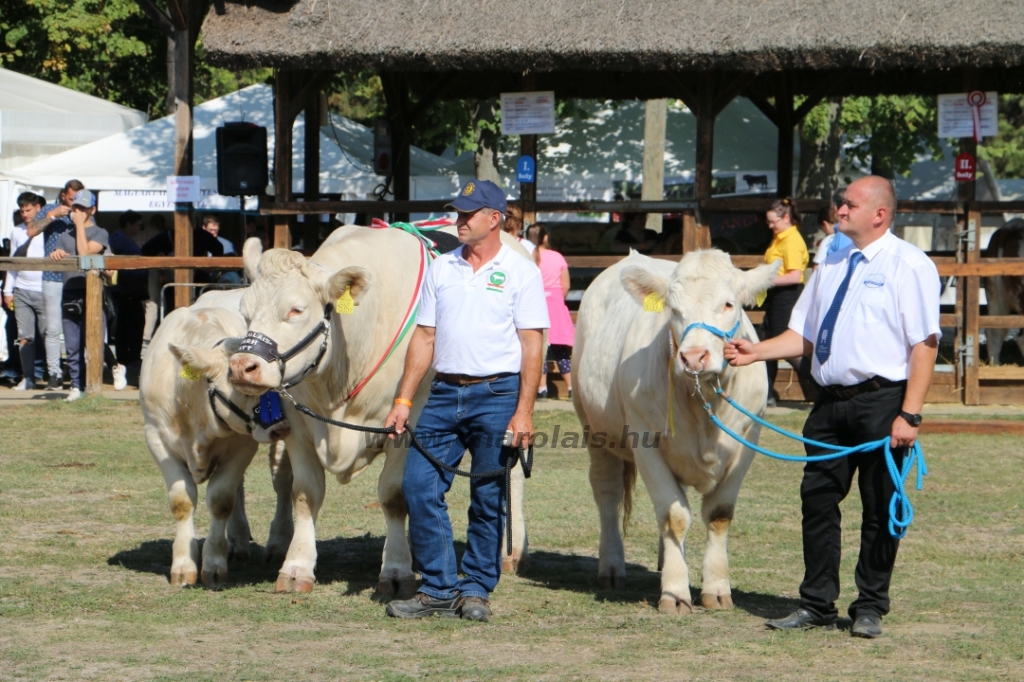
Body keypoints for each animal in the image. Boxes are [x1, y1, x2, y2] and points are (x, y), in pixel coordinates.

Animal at [139, 286, 292, 585]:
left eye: (278, 385)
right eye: (244, 387)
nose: (281, 427)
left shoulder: (242, 444)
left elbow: (221, 499)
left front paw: (213, 563)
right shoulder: (156, 437)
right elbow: (182, 500)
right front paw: (184, 565)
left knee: (282, 483)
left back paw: (278, 544)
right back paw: (238, 542)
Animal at [224, 227, 528, 589]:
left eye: (296, 310)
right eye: (245, 312)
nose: (242, 366)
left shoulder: (408, 426)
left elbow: (394, 495)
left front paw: (396, 569)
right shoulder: (297, 425)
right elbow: (305, 493)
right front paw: (297, 566)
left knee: (508, 473)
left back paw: (510, 552)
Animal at [577, 248, 774, 610]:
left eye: (728, 304)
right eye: (674, 309)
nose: (693, 357)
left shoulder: (747, 442)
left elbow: (719, 513)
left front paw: (717, 587)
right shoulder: (645, 441)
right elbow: (674, 516)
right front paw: (675, 592)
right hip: (594, 428)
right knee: (607, 492)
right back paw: (612, 566)